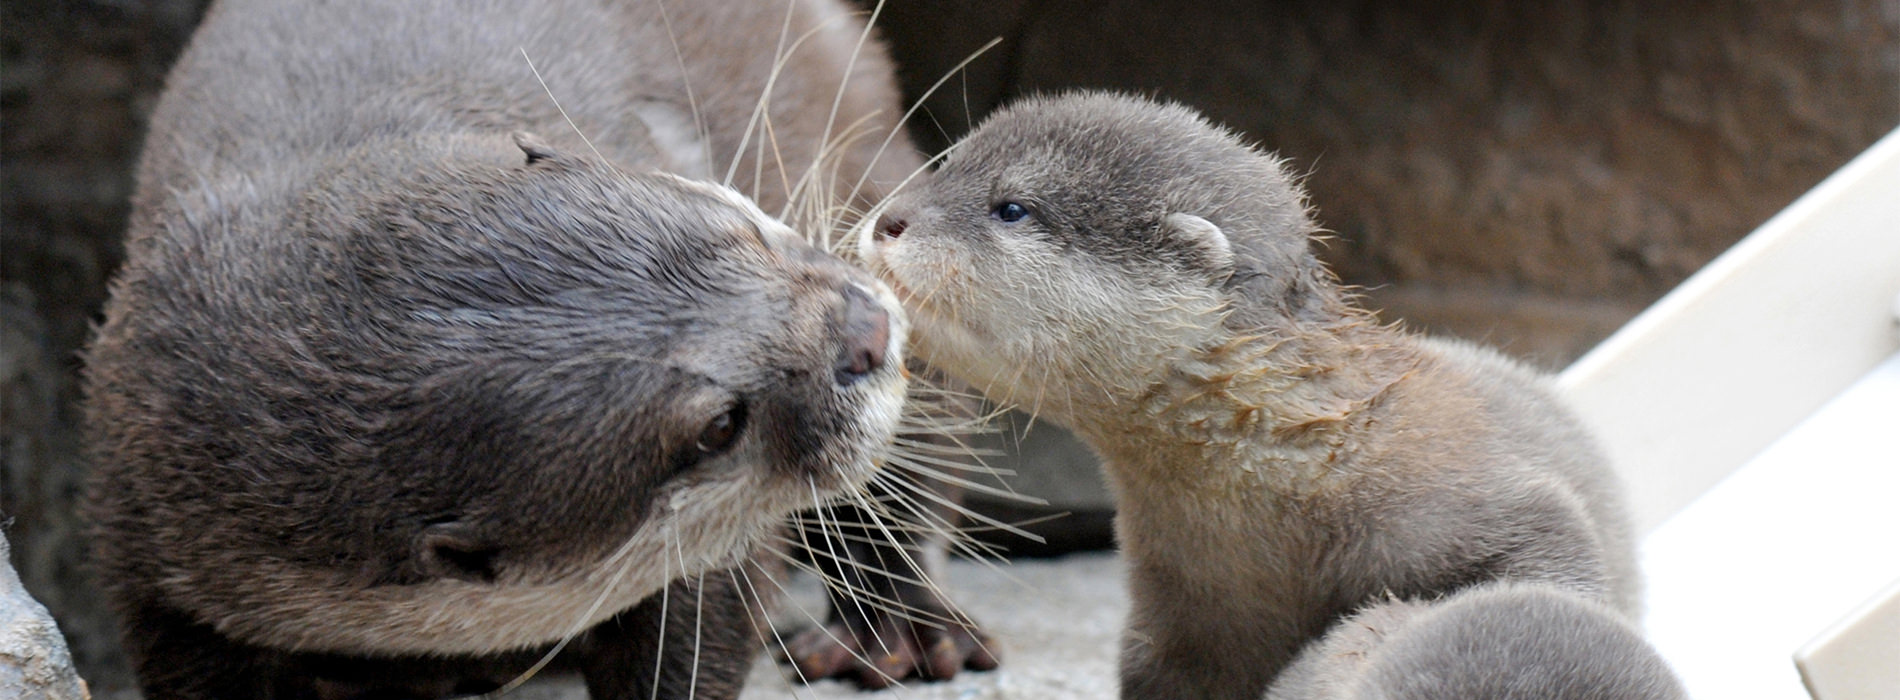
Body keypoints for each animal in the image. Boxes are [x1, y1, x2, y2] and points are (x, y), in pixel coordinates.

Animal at [857, 92, 1683, 699]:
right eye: (942, 164)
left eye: (1012, 208)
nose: (886, 217)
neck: (1301, 465)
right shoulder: (1178, 622)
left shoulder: (1500, 505)